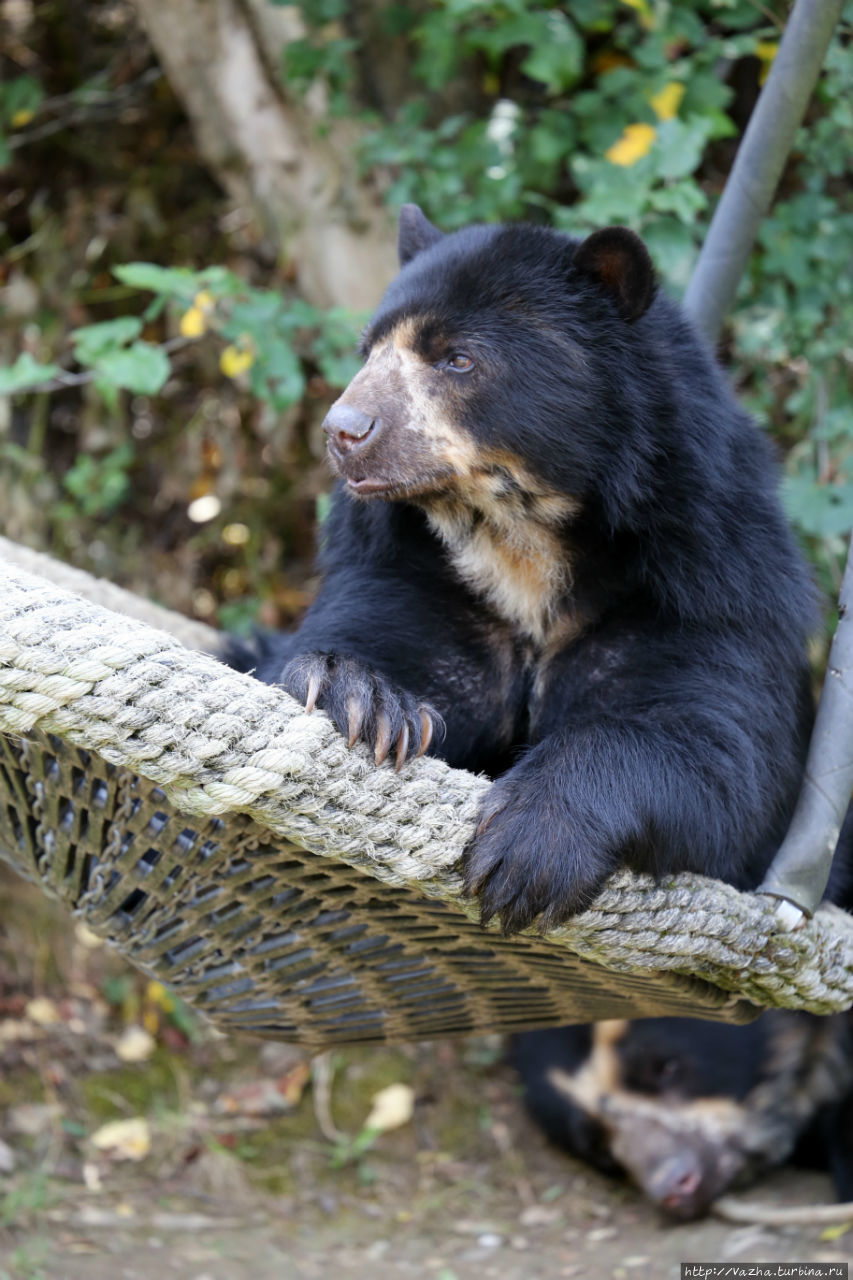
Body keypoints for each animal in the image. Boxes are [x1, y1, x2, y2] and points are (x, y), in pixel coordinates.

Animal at [227, 204, 819, 936]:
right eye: (370, 352)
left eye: (458, 358)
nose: (344, 431)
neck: (518, 540)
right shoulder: (410, 573)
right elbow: (367, 648)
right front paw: (358, 699)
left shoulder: (707, 587)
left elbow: (722, 762)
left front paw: (527, 851)